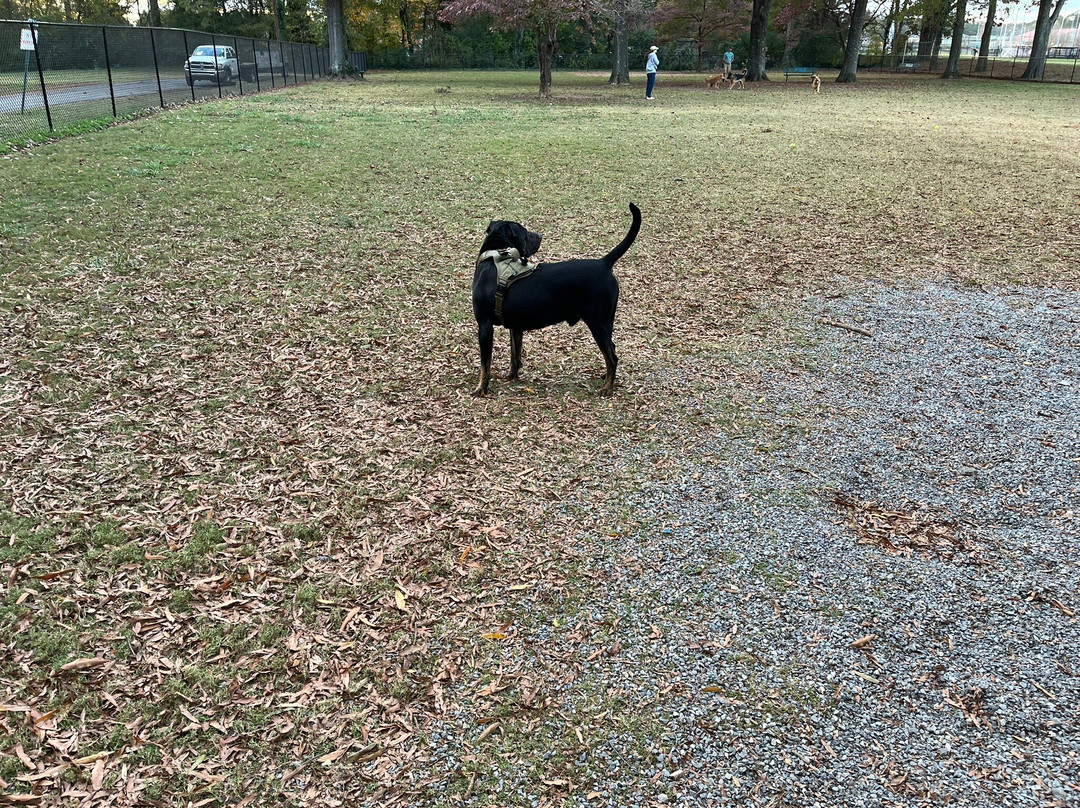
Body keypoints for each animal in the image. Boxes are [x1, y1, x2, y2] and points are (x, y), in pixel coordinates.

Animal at [468, 198, 635, 395]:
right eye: (526, 233)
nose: (540, 235)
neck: (495, 256)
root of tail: (604, 262)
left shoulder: (485, 325)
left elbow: (485, 364)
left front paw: (481, 388)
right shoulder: (515, 327)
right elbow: (515, 353)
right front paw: (512, 375)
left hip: (598, 323)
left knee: (612, 357)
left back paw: (607, 387)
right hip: (606, 322)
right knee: (612, 350)